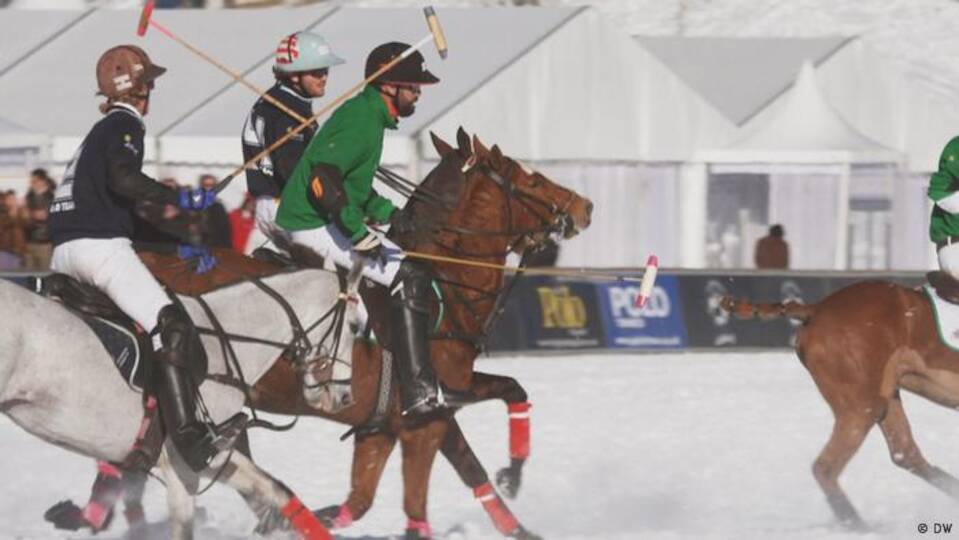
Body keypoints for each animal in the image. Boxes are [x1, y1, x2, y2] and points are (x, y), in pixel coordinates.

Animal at [721, 278, 959, 530]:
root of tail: (816, 309)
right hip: (861, 408)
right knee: (825, 467)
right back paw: (857, 526)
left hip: (884, 396)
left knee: (905, 453)